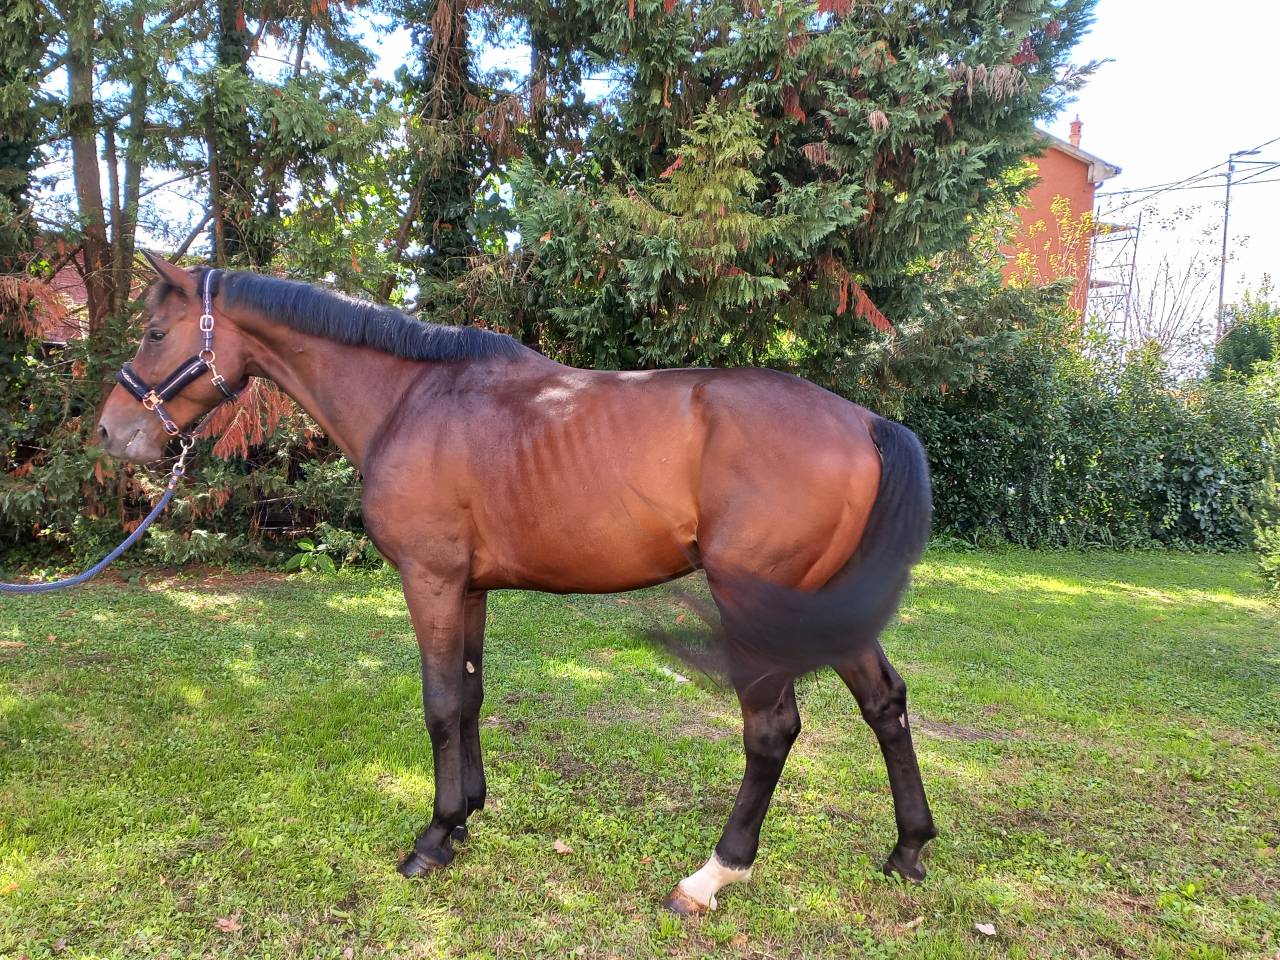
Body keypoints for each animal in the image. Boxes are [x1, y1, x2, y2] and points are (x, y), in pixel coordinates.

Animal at [94, 253, 937, 915]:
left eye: (155, 333)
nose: (109, 433)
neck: (413, 400)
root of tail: (865, 423)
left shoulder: (430, 580)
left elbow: (439, 704)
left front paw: (433, 838)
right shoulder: (468, 588)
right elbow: (469, 697)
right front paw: (467, 815)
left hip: (754, 607)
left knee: (772, 731)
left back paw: (711, 876)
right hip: (821, 608)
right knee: (884, 704)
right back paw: (908, 850)